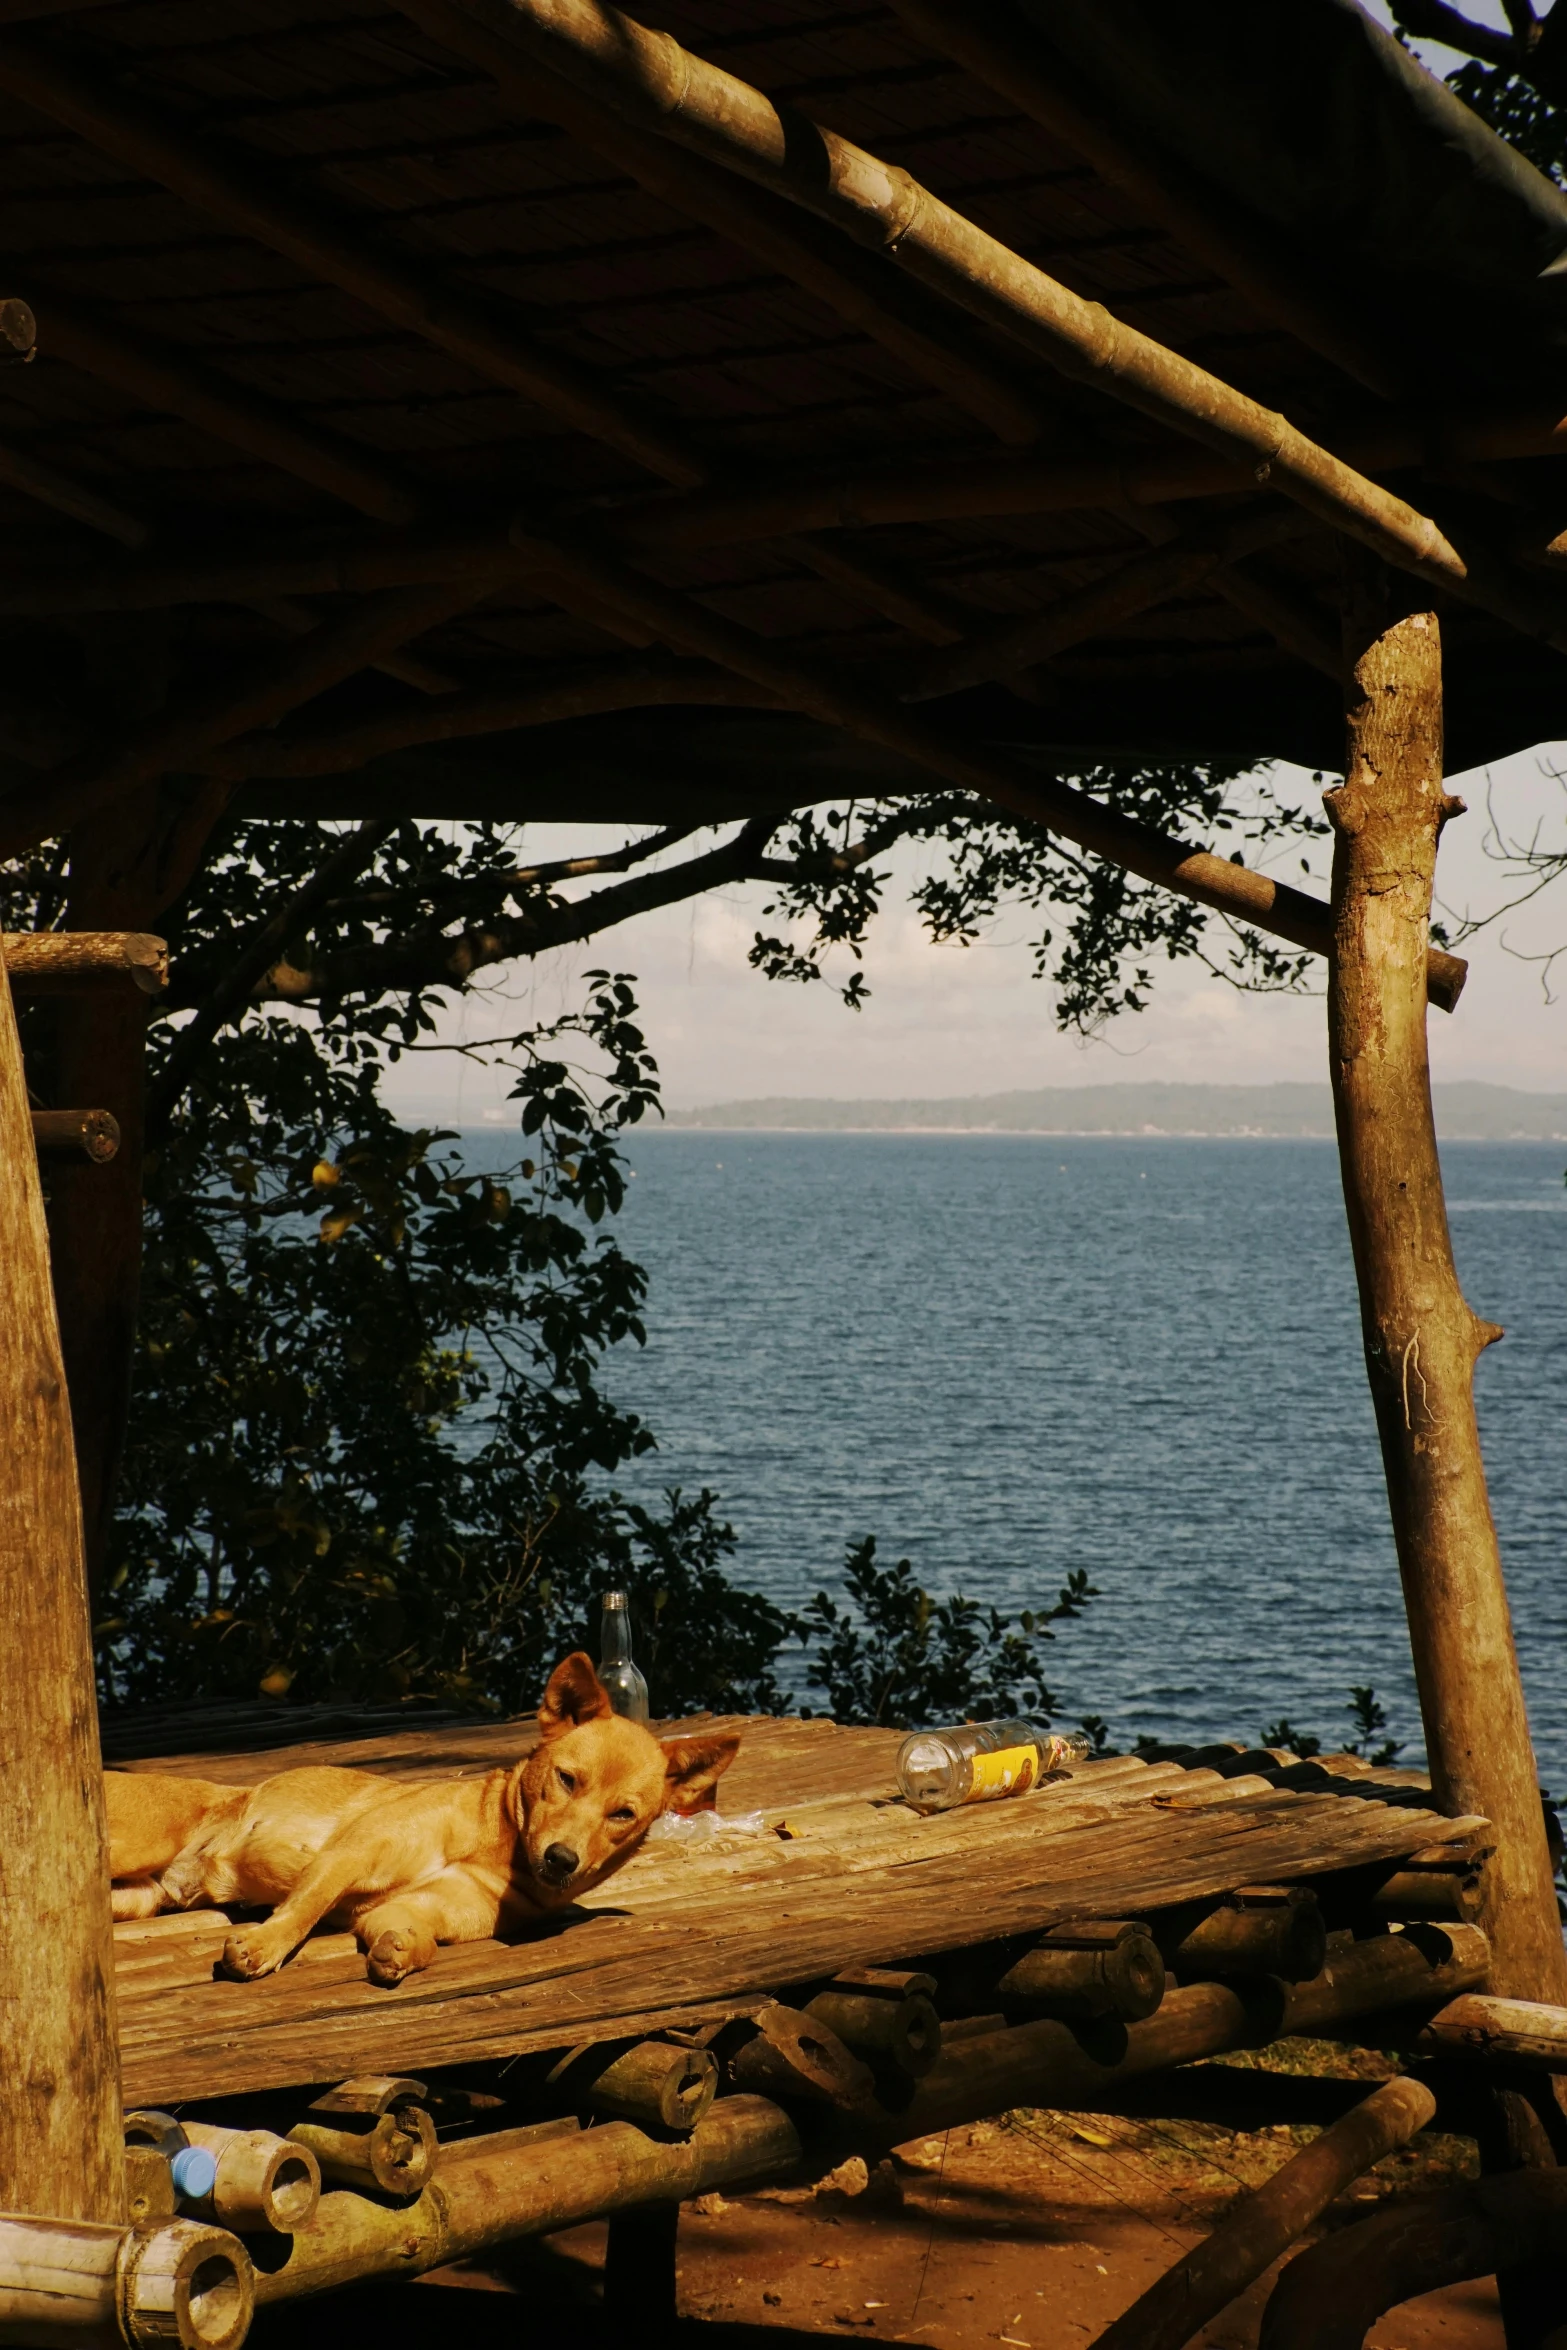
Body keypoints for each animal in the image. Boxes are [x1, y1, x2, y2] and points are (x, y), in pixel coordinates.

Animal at [103, 1654, 742, 1983]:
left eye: (623, 1814)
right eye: (567, 1779)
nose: (562, 1860)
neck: (492, 1847)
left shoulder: (411, 1910)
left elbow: (417, 1938)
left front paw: (403, 1952)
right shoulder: (349, 1854)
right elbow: (304, 1909)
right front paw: (264, 1945)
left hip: (135, 1898)